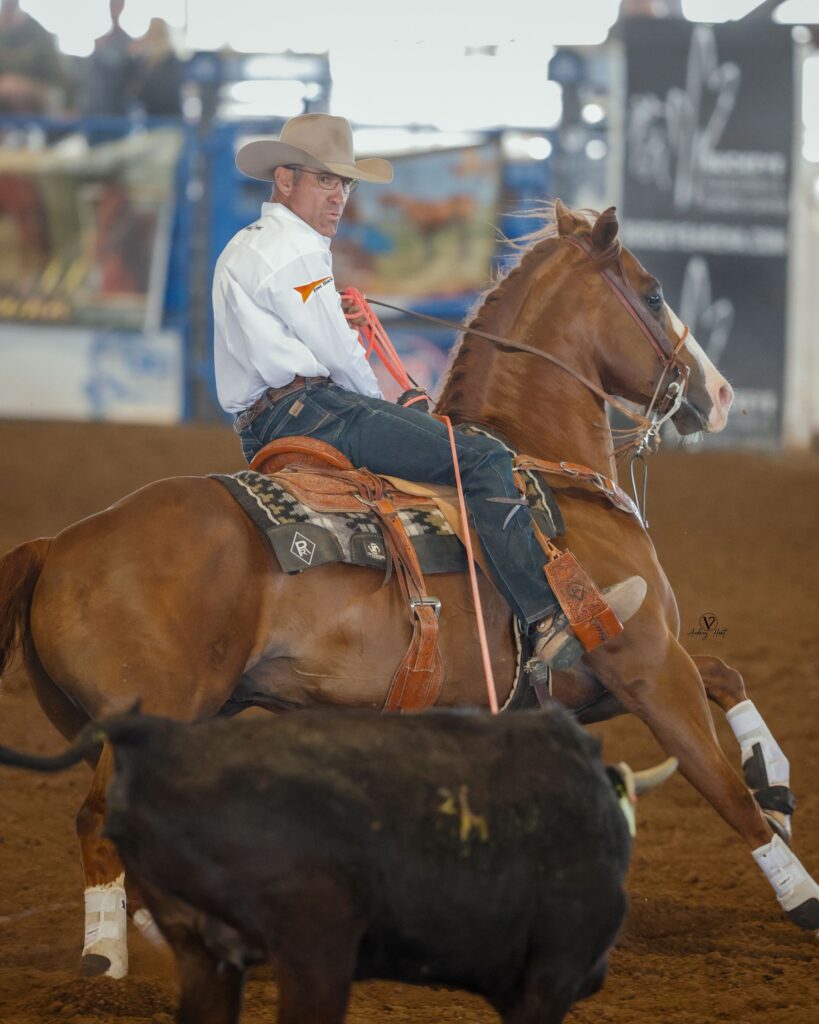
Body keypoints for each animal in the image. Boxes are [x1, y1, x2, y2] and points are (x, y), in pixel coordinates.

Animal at [0, 201, 815, 980]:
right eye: (652, 292)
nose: (721, 394)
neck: (544, 474)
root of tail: (57, 545)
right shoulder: (644, 663)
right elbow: (721, 785)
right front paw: (800, 893)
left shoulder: (598, 682)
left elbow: (726, 678)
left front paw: (774, 778)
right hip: (163, 714)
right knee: (98, 820)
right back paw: (106, 957)